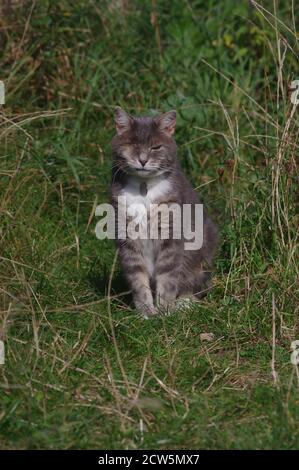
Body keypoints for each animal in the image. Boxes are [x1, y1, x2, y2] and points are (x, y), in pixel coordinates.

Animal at [110, 106, 218, 318]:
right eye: (133, 144)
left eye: (156, 147)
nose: (143, 160)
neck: (143, 188)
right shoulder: (127, 235)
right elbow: (137, 278)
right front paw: (146, 312)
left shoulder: (171, 233)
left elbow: (167, 275)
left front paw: (165, 310)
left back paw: (184, 303)